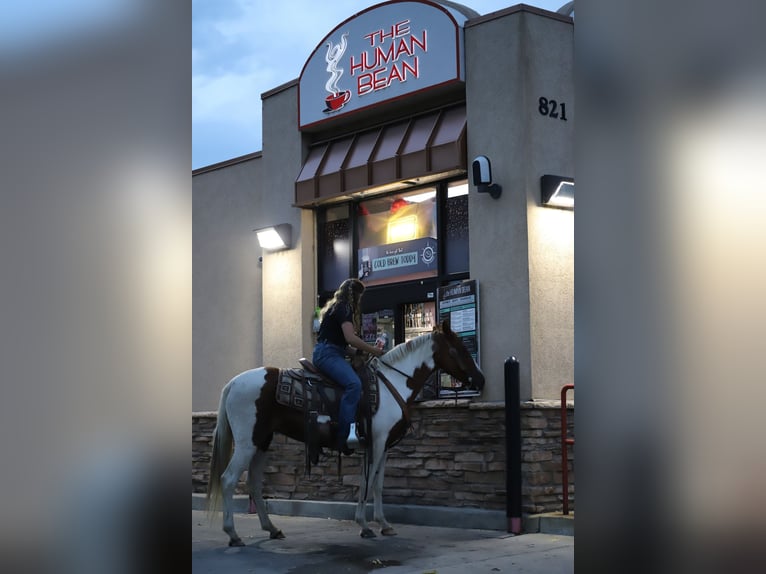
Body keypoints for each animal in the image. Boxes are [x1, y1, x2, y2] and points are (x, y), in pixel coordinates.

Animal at [207, 322, 486, 548]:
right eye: (458, 349)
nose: (480, 380)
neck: (391, 383)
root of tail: (232, 383)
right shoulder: (377, 442)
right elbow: (368, 481)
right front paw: (364, 526)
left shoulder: (382, 446)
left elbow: (376, 484)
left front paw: (384, 525)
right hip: (247, 443)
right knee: (229, 479)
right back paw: (233, 534)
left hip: (262, 441)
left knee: (254, 482)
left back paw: (272, 529)